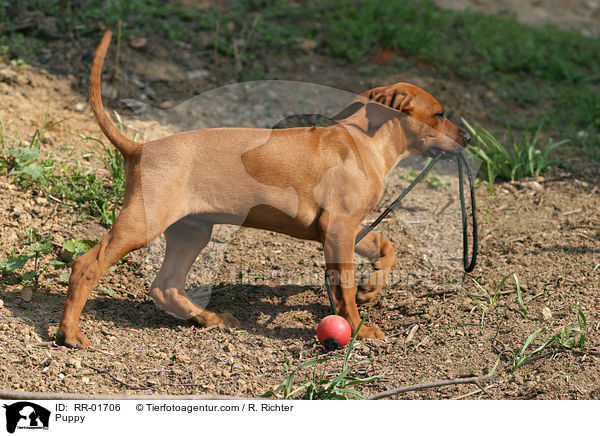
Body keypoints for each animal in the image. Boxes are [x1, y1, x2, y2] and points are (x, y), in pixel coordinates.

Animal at [55, 30, 468, 348]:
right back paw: (69, 333)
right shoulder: (338, 229)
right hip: (143, 223)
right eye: (440, 114)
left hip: (192, 230)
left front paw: (372, 286)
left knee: (165, 286)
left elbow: (386, 246)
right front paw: (359, 328)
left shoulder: (347, 227)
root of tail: (140, 148)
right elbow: (345, 288)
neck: (364, 141)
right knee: (88, 265)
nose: (468, 138)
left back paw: (206, 319)